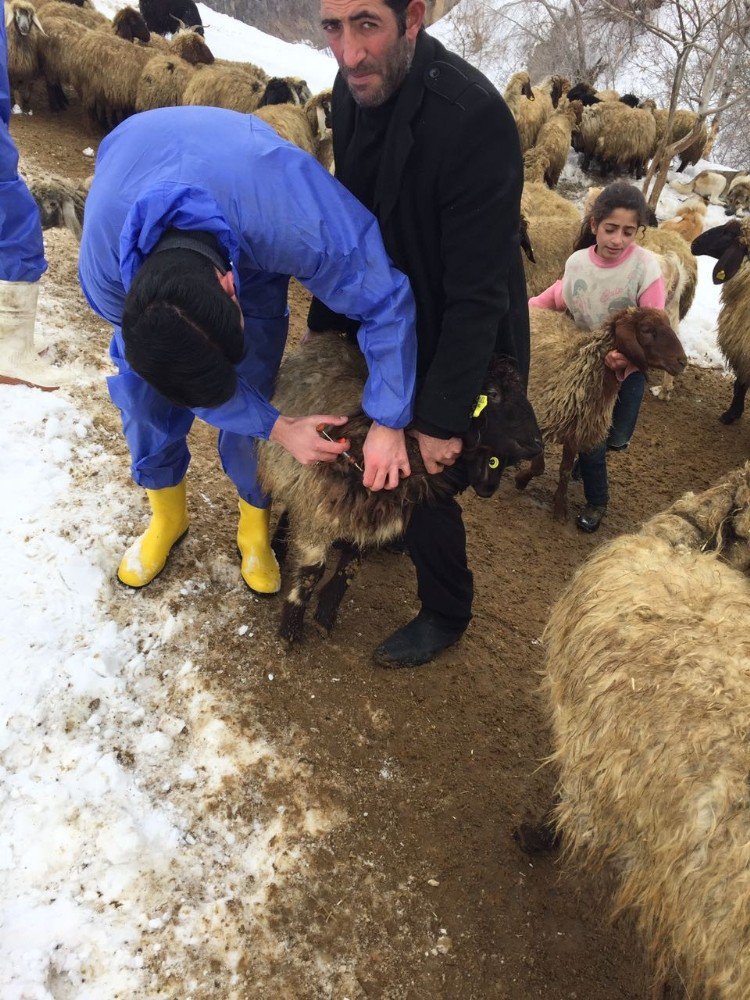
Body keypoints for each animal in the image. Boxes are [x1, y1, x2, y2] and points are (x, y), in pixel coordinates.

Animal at [256, 336, 544, 644]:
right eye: (493, 393)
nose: (537, 445)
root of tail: (328, 338)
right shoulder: (322, 504)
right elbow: (313, 571)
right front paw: (291, 627)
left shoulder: (374, 517)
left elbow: (350, 567)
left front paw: (325, 616)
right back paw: (276, 548)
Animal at [516, 306, 688, 524]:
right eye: (647, 329)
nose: (683, 361)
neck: (575, 369)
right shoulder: (541, 417)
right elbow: (539, 465)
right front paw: (521, 481)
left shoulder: (577, 432)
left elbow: (564, 471)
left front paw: (560, 507)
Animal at [692, 217, 750, 424]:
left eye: (729, 233)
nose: (695, 243)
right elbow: (740, 384)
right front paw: (733, 413)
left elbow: (740, 384)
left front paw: (731, 414)